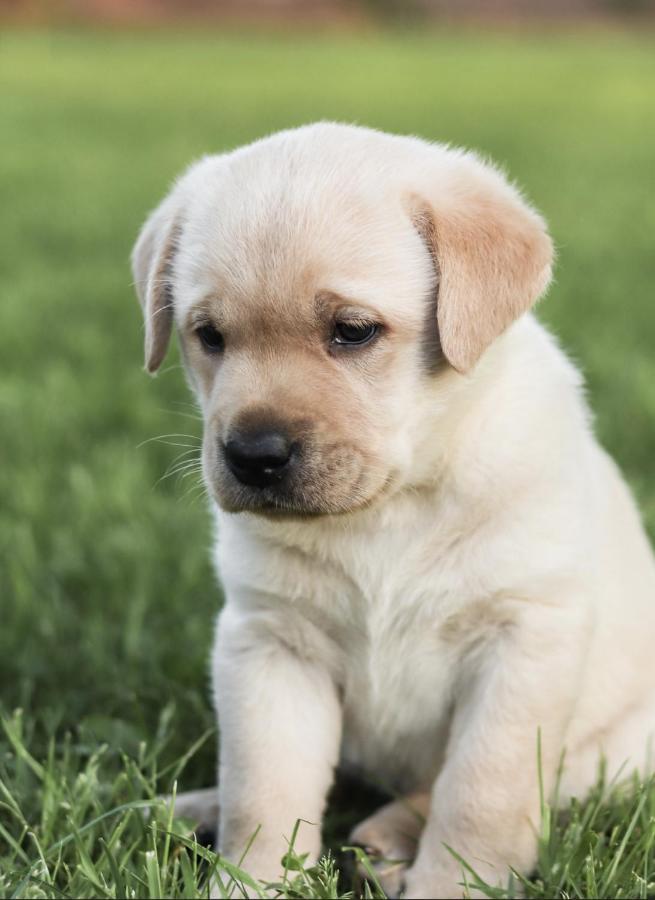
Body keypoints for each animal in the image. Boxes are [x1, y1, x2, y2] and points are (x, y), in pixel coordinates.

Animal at [132, 123, 655, 896]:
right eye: (210, 336)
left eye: (353, 330)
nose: (253, 454)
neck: (389, 508)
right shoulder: (268, 643)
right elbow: (264, 788)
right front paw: (250, 879)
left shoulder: (523, 642)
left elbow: (477, 795)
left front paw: (449, 884)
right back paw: (187, 807)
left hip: (619, 749)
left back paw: (385, 838)